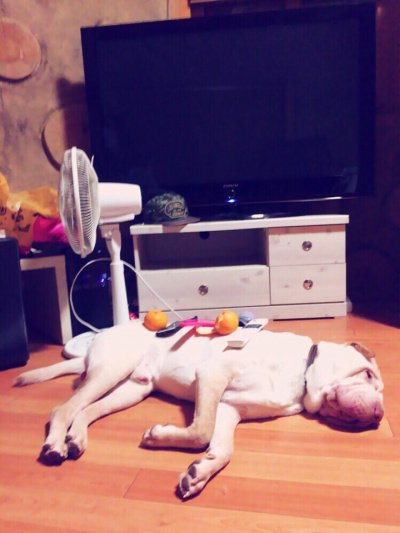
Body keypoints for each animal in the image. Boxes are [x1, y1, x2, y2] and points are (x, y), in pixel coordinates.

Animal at [14, 321, 384, 499]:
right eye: (368, 374)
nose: (379, 417)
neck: (303, 370)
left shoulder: (230, 409)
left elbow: (222, 449)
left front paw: (200, 473)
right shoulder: (212, 376)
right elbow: (202, 431)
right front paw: (160, 437)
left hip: (133, 388)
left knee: (85, 411)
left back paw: (76, 439)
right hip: (112, 370)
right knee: (63, 409)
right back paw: (54, 445)